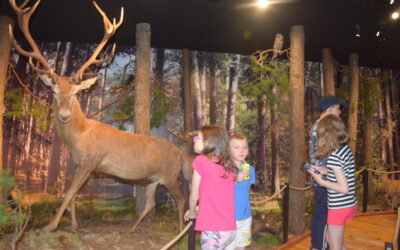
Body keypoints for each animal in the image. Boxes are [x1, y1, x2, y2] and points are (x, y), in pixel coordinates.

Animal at [8, 0, 186, 233]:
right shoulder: (78, 163)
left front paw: (50, 226)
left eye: (75, 93)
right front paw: (74, 225)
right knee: (151, 203)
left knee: (182, 200)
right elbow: (73, 194)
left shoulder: (90, 162)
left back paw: (180, 230)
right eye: (53, 91)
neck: (78, 140)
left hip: (171, 176)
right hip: (152, 180)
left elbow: (68, 193)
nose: (64, 116)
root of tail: (181, 154)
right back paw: (131, 229)